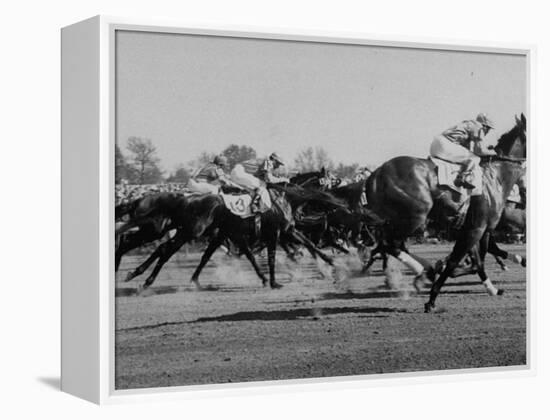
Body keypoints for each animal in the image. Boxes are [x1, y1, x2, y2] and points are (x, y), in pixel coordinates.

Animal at [368, 115, 528, 308]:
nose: (525, 192)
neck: (496, 177)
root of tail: (376, 174)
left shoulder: (478, 229)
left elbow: (478, 262)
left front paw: (493, 289)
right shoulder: (476, 229)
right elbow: (456, 261)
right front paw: (431, 299)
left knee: (387, 245)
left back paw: (424, 270)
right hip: (415, 217)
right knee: (391, 244)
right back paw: (423, 271)